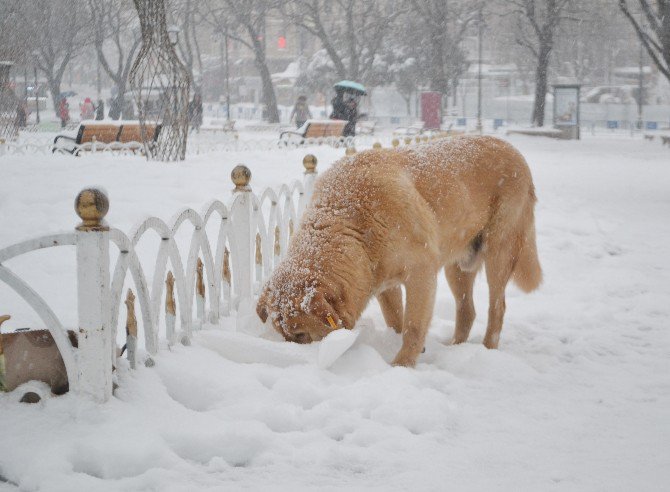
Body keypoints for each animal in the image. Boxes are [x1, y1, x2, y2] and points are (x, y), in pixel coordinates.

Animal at [255, 135, 544, 366]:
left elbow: (413, 327)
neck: (352, 221)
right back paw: (455, 347)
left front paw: (402, 365)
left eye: (300, 335)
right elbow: (395, 319)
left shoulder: (421, 273)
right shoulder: (384, 281)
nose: (295, 357)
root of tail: (514, 150)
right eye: (285, 336)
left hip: (500, 250)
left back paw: (487, 350)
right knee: (467, 310)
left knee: (497, 307)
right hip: (458, 265)